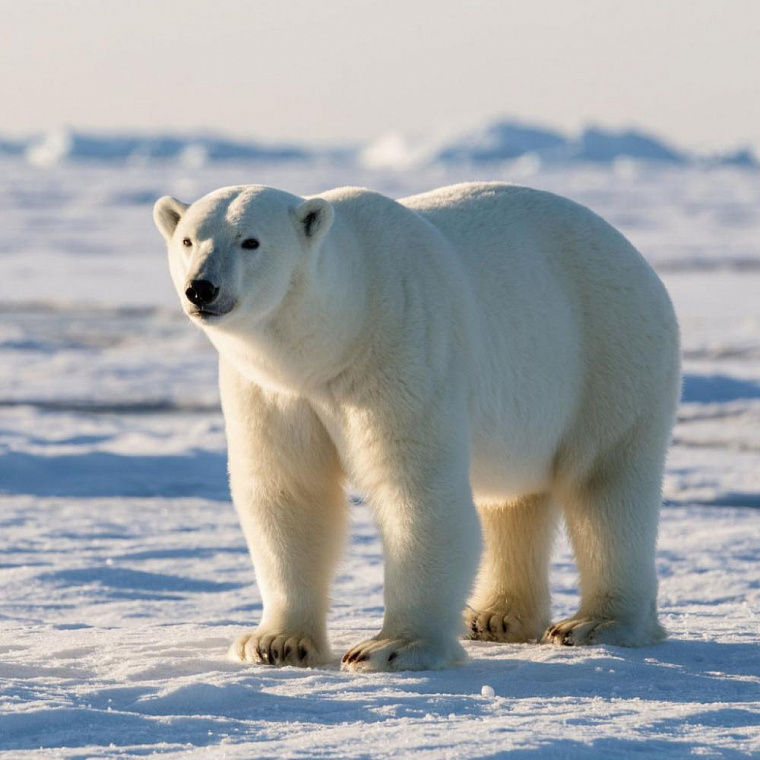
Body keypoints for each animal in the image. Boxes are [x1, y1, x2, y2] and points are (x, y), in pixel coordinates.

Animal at [153, 181, 680, 672]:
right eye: (189, 239)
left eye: (250, 241)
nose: (201, 288)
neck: (336, 336)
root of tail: (634, 255)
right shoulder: (273, 393)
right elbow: (290, 493)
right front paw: (275, 643)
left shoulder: (400, 352)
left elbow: (416, 491)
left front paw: (391, 648)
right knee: (515, 498)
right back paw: (493, 616)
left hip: (609, 354)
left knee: (605, 487)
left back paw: (596, 623)